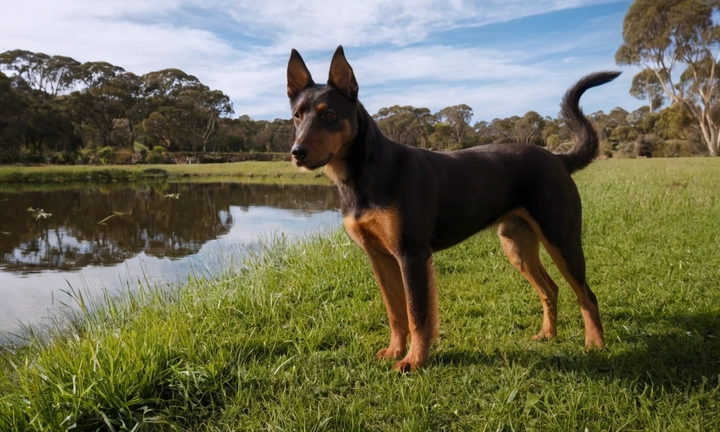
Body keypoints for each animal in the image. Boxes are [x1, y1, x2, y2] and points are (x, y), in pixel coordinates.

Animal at [286, 46, 620, 372]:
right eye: (297, 116)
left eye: (330, 114)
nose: (296, 152)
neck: (367, 172)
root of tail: (557, 159)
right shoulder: (378, 256)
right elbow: (395, 312)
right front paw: (395, 351)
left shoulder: (412, 255)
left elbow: (418, 315)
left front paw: (414, 361)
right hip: (517, 246)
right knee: (550, 289)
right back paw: (548, 334)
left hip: (561, 240)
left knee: (586, 294)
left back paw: (595, 344)